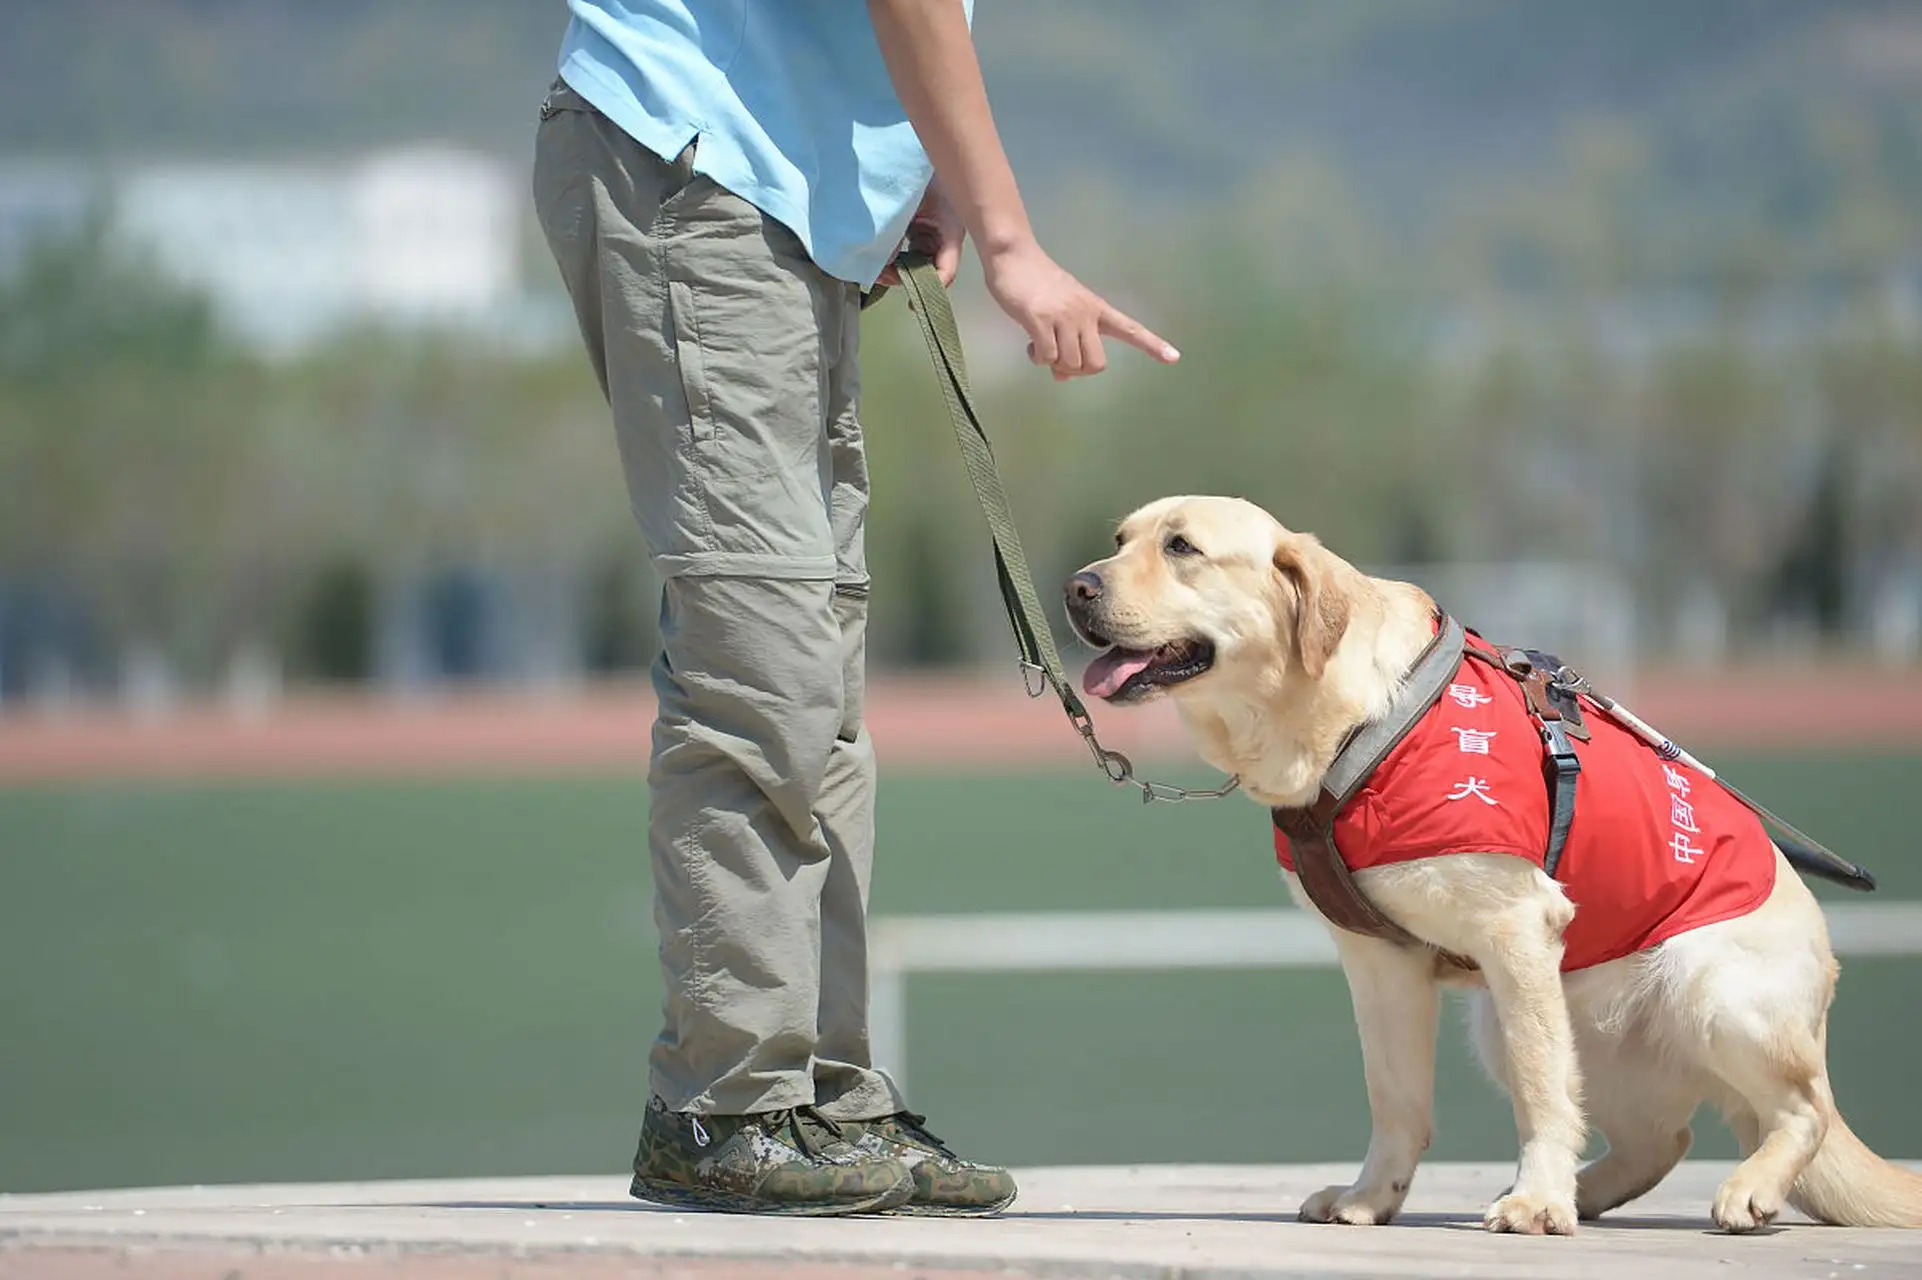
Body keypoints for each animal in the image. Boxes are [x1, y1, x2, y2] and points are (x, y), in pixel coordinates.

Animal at [1068, 492, 1922, 1230]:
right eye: (1120, 539)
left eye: (1182, 547)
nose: (1077, 587)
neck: (1344, 727)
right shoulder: (1379, 959)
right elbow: (1396, 1099)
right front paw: (1371, 1198)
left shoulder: (1516, 929)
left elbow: (1542, 1094)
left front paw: (1538, 1203)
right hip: (1519, 1022)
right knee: (1659, 1138)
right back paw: (1589, 1189)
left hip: (1706, 989)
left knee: (1801, 1109)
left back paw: (1738, 1188)